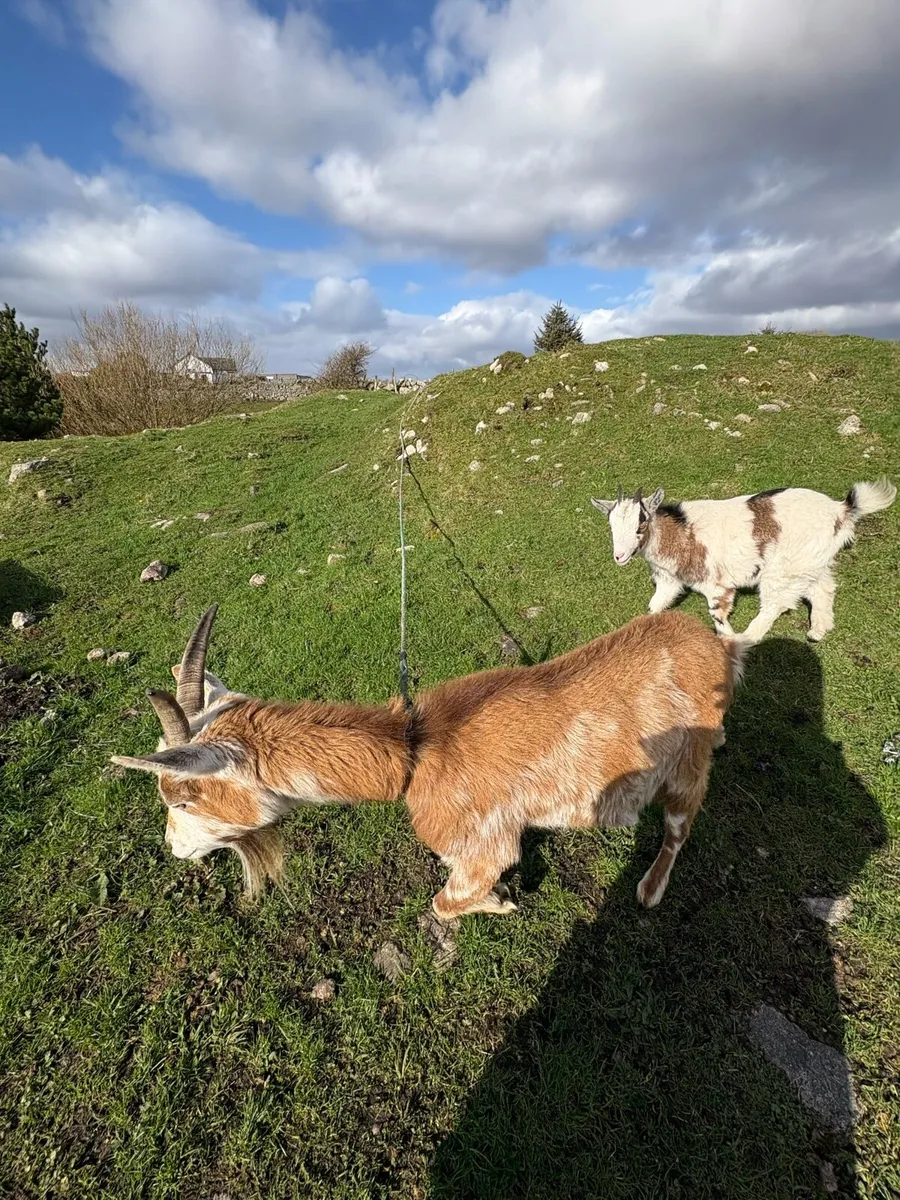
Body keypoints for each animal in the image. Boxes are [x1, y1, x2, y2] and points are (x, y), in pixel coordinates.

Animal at [112, 605, 744, 918]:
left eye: (181, 797)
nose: (172, 848)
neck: (416, 752)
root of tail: (717, 643)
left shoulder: (483, 843)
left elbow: (444, 904)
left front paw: (500, 901)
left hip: (685, 771)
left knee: (679, 828)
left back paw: (649, 889)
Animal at [592, 479, 896, 644]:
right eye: (610, 525)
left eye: (640, 524)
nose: (619, 556)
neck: (681, 532)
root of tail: (841, 511)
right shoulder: (669, 580)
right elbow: (655, 606)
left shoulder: (716, 584)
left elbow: (717, 613)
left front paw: (727, 640)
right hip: (809, 561)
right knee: (823, 588)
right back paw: (817, 631)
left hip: (783, 568)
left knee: (777, 603)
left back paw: (749, 637)